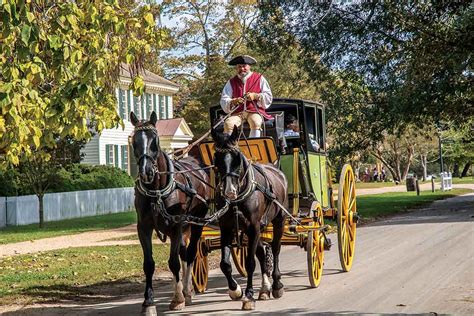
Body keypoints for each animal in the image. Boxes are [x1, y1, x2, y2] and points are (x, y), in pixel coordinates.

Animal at [131, 111, 210, 312]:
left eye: (155, 141)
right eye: (134, 141)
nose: (146, 171)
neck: (157, 191)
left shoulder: (176, 226)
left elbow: (173, 262)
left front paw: (177, 298)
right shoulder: (143, 227)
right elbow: (149, 264)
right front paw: (148, 302)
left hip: (196, 223)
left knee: (190, 254)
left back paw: (187, 292)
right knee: (184, 253)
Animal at [212, 126, 288, 312]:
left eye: (237, 158)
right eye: (216, 158)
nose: (229, 191)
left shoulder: (253, 227)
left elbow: (249, 263)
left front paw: (248, 296)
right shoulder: (227, 228)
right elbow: (225, 264)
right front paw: (235, 290)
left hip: (279, 220)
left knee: (275, 248)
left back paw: (276, 284)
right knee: (262, 251)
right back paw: (265, 288)